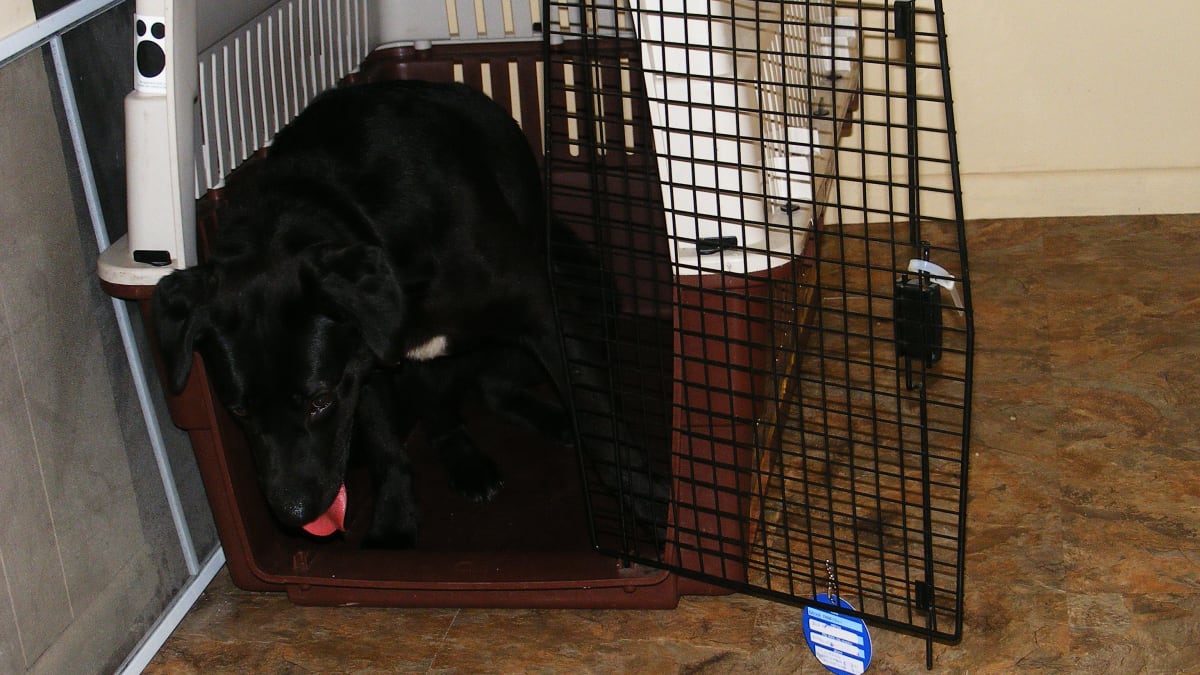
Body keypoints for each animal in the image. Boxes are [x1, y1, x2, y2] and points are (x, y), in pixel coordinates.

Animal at [150, 78, 667, 547]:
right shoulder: (364, 365)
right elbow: (386, 449)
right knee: (456, 408)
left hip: (588, 296)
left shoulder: (541, 315)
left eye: (319, 402)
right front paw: (394, 521)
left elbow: (601, 420)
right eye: (238, 410)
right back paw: (468, 462)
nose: (295, 514)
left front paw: (655, 512)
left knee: (496, 385)